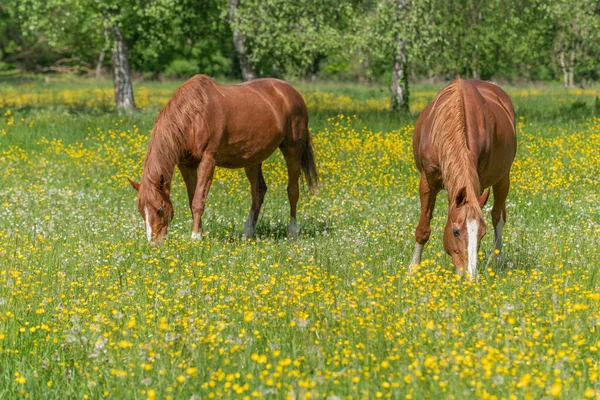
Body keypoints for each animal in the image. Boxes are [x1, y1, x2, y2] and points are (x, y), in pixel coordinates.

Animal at [128, 74, 318, 244]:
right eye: (141, 211)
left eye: (159, 210)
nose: (154, 243)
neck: (194, 116)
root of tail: (292, 92)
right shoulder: (186, 165)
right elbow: (192, 199)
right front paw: (200, 233)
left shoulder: (208, 160)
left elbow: (198, 200)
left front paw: (195, 237)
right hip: (252, 158)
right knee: (258, 191)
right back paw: (248, 233)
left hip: (292, 149)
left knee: (292, 190)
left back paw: (292, 233)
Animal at [410, 78, 516, 278]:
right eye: (456, 232)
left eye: (482, 234)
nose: (470, 277)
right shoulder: (428, 181)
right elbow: (423, 228)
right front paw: (412, 271)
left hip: (502, 178)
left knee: (498, 216)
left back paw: (498, 260)